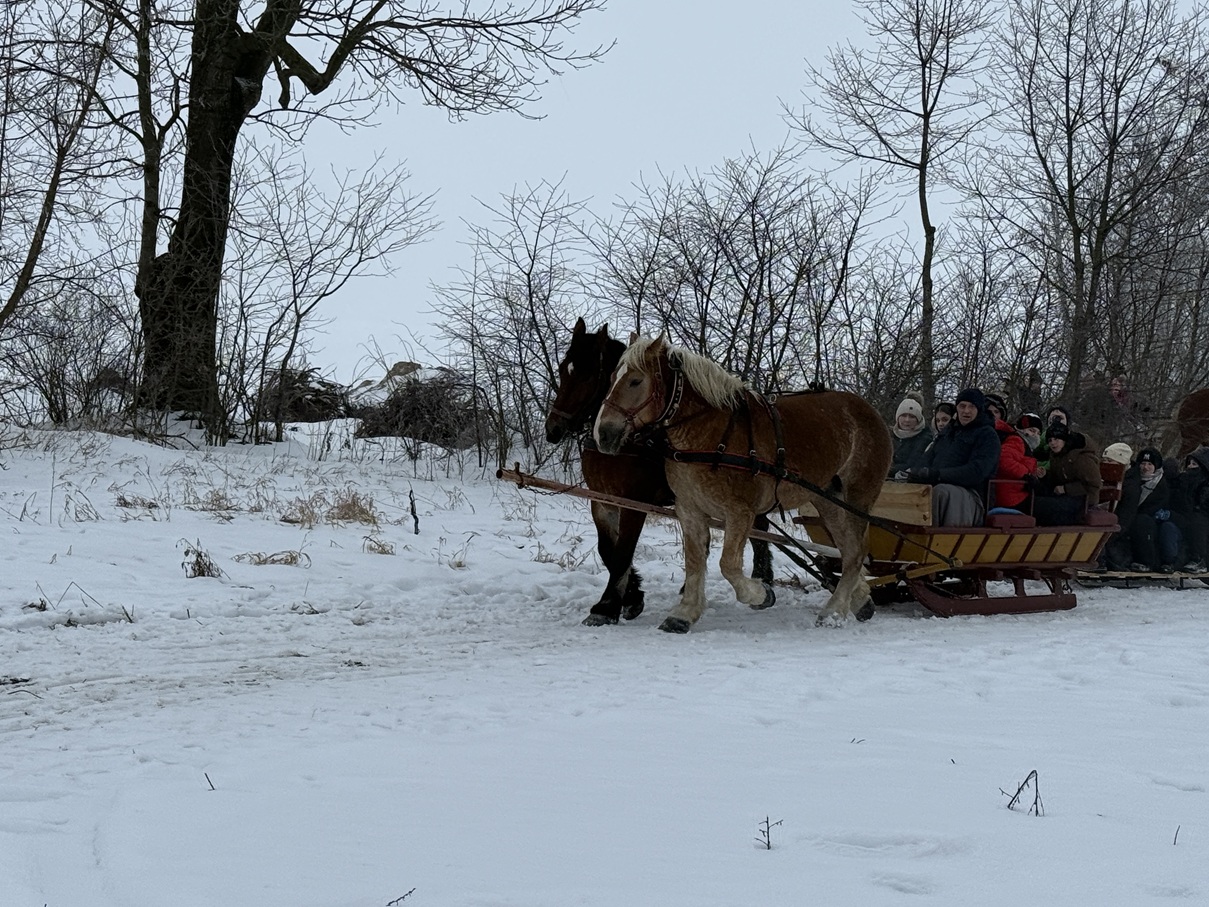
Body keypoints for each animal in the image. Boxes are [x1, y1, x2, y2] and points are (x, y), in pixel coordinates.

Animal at [545, 319, 772, 627]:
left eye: (588, 375)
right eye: (563, 369)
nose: (553, 430)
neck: (630, 443)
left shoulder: (634, 503)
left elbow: (622, 552)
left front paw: (607, 605)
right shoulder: (602, 501)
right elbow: (607, 549)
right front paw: (632, 595)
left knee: (760, 528)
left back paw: (762, 580)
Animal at [593, 335, 892, 633]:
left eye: (635, 381)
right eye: (612, 377)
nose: (603, 434)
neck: (709, 438)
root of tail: (869, 411)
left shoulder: (740, 512)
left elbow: (728, 565)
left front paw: (760, 594)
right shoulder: (689, 510)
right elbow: (694, 561)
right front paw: (685, 613)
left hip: (857, 496)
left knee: (856, 552)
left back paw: (834, 611)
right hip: (828, 499)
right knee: (848, 550)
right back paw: (858, 601)